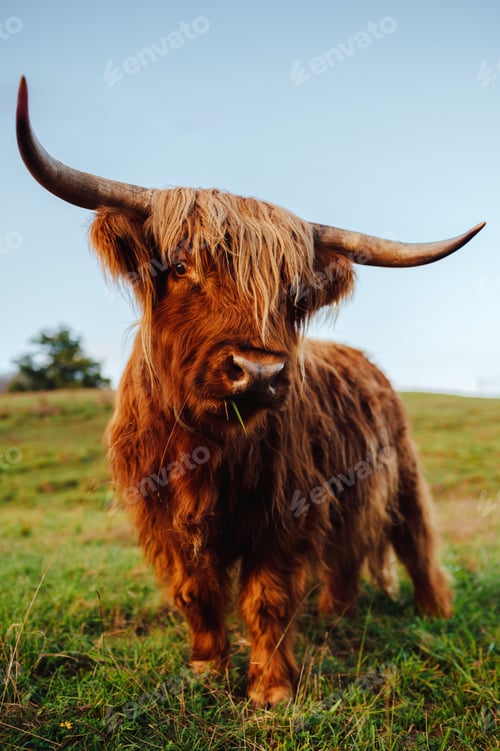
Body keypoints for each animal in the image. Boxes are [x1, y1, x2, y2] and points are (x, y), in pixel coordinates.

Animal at [16, 77, 485, 707]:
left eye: (294, 296)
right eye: (181, 266)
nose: (259, 372)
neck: (206, 446)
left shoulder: (285, 507)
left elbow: (268, 598)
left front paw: (271, 690)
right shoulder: (163, 516)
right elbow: (194, 591)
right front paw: (207, 667)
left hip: (403, 473)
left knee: (416, 541)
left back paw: (434, 614)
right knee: (345, 555)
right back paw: (337, 614)